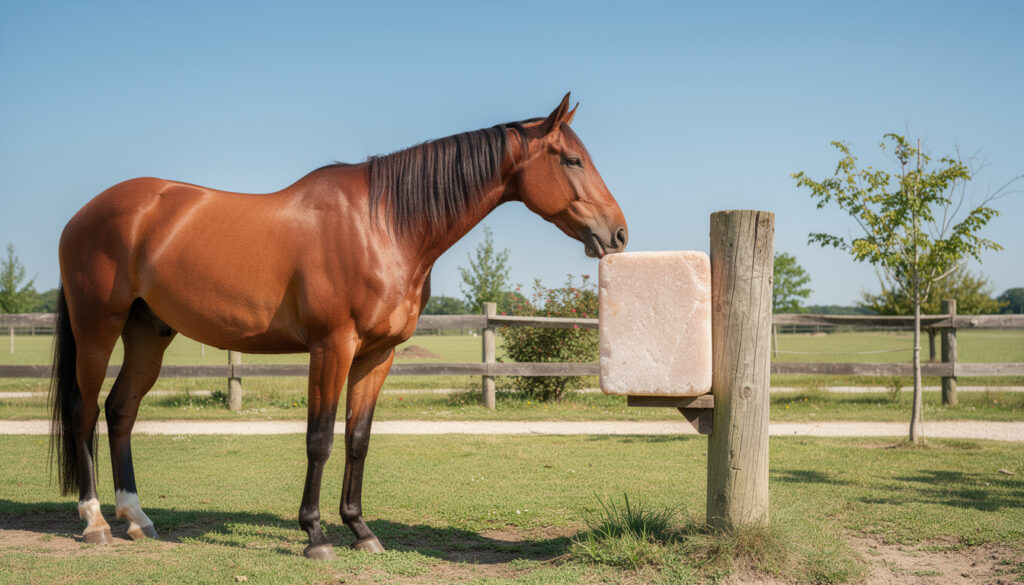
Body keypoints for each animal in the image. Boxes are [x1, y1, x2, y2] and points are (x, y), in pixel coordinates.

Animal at [50, 93, 628, 559]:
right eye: (572, 159)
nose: (618, 233)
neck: (383, 224)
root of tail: (83, 215)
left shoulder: (376, 354)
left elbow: (358, 438)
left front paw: (361, 530)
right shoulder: (333, 347)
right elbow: (320, 438)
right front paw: (316, 536)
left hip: (148, 332)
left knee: (120, 410)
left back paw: (136, 518)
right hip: (98, 327)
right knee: (84, 411)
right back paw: (95, 521)